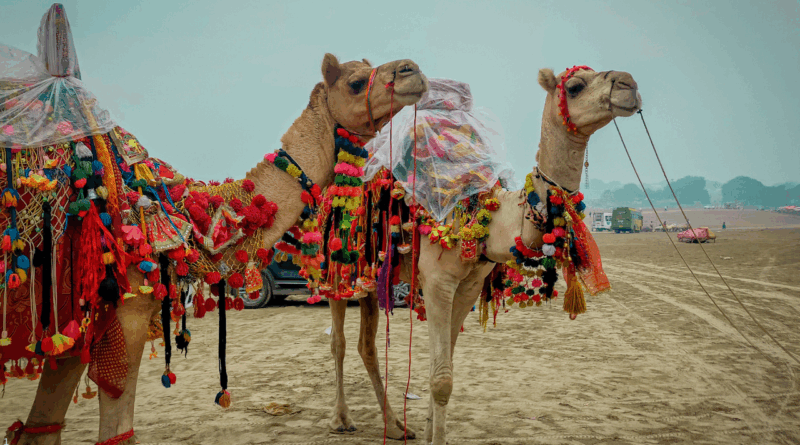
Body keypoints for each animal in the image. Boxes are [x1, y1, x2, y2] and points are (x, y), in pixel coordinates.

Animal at [2, 8, 427, 443]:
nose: (413, 70)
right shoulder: (126, 309)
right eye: (356, 82)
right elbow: (117, 430)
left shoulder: (70, 334)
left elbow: (40, 429)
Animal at [325, 66, 641, 444]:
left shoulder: (469, 285)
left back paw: (399, 425)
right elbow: (441, 378)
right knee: (339, 342)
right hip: (338, 264)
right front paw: (435, 437)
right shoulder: (437, 281)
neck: (490, 218)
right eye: (576, 86)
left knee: (367, 345)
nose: (628, 85)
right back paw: (341, 418)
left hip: (373, 277)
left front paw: (429, 431)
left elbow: (444, 367)